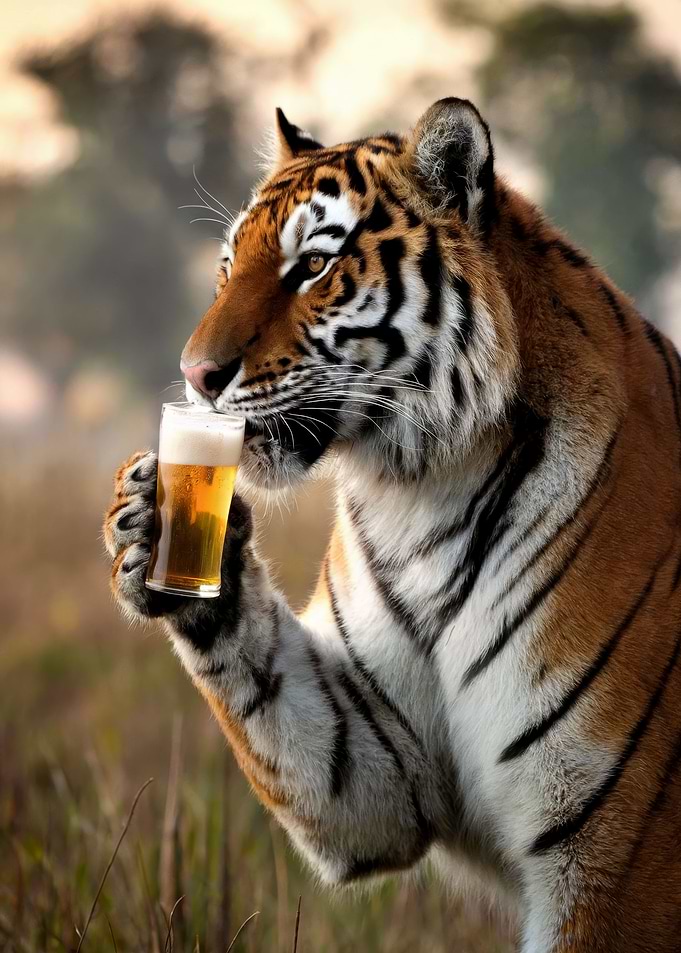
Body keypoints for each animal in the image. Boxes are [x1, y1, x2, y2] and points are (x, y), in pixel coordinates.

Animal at [104, 98, 681, 952]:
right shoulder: (379, 771)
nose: (196, 377)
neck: (421, 492)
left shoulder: (613, 853)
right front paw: (148, 525)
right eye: (226, 267)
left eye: (312, 266)